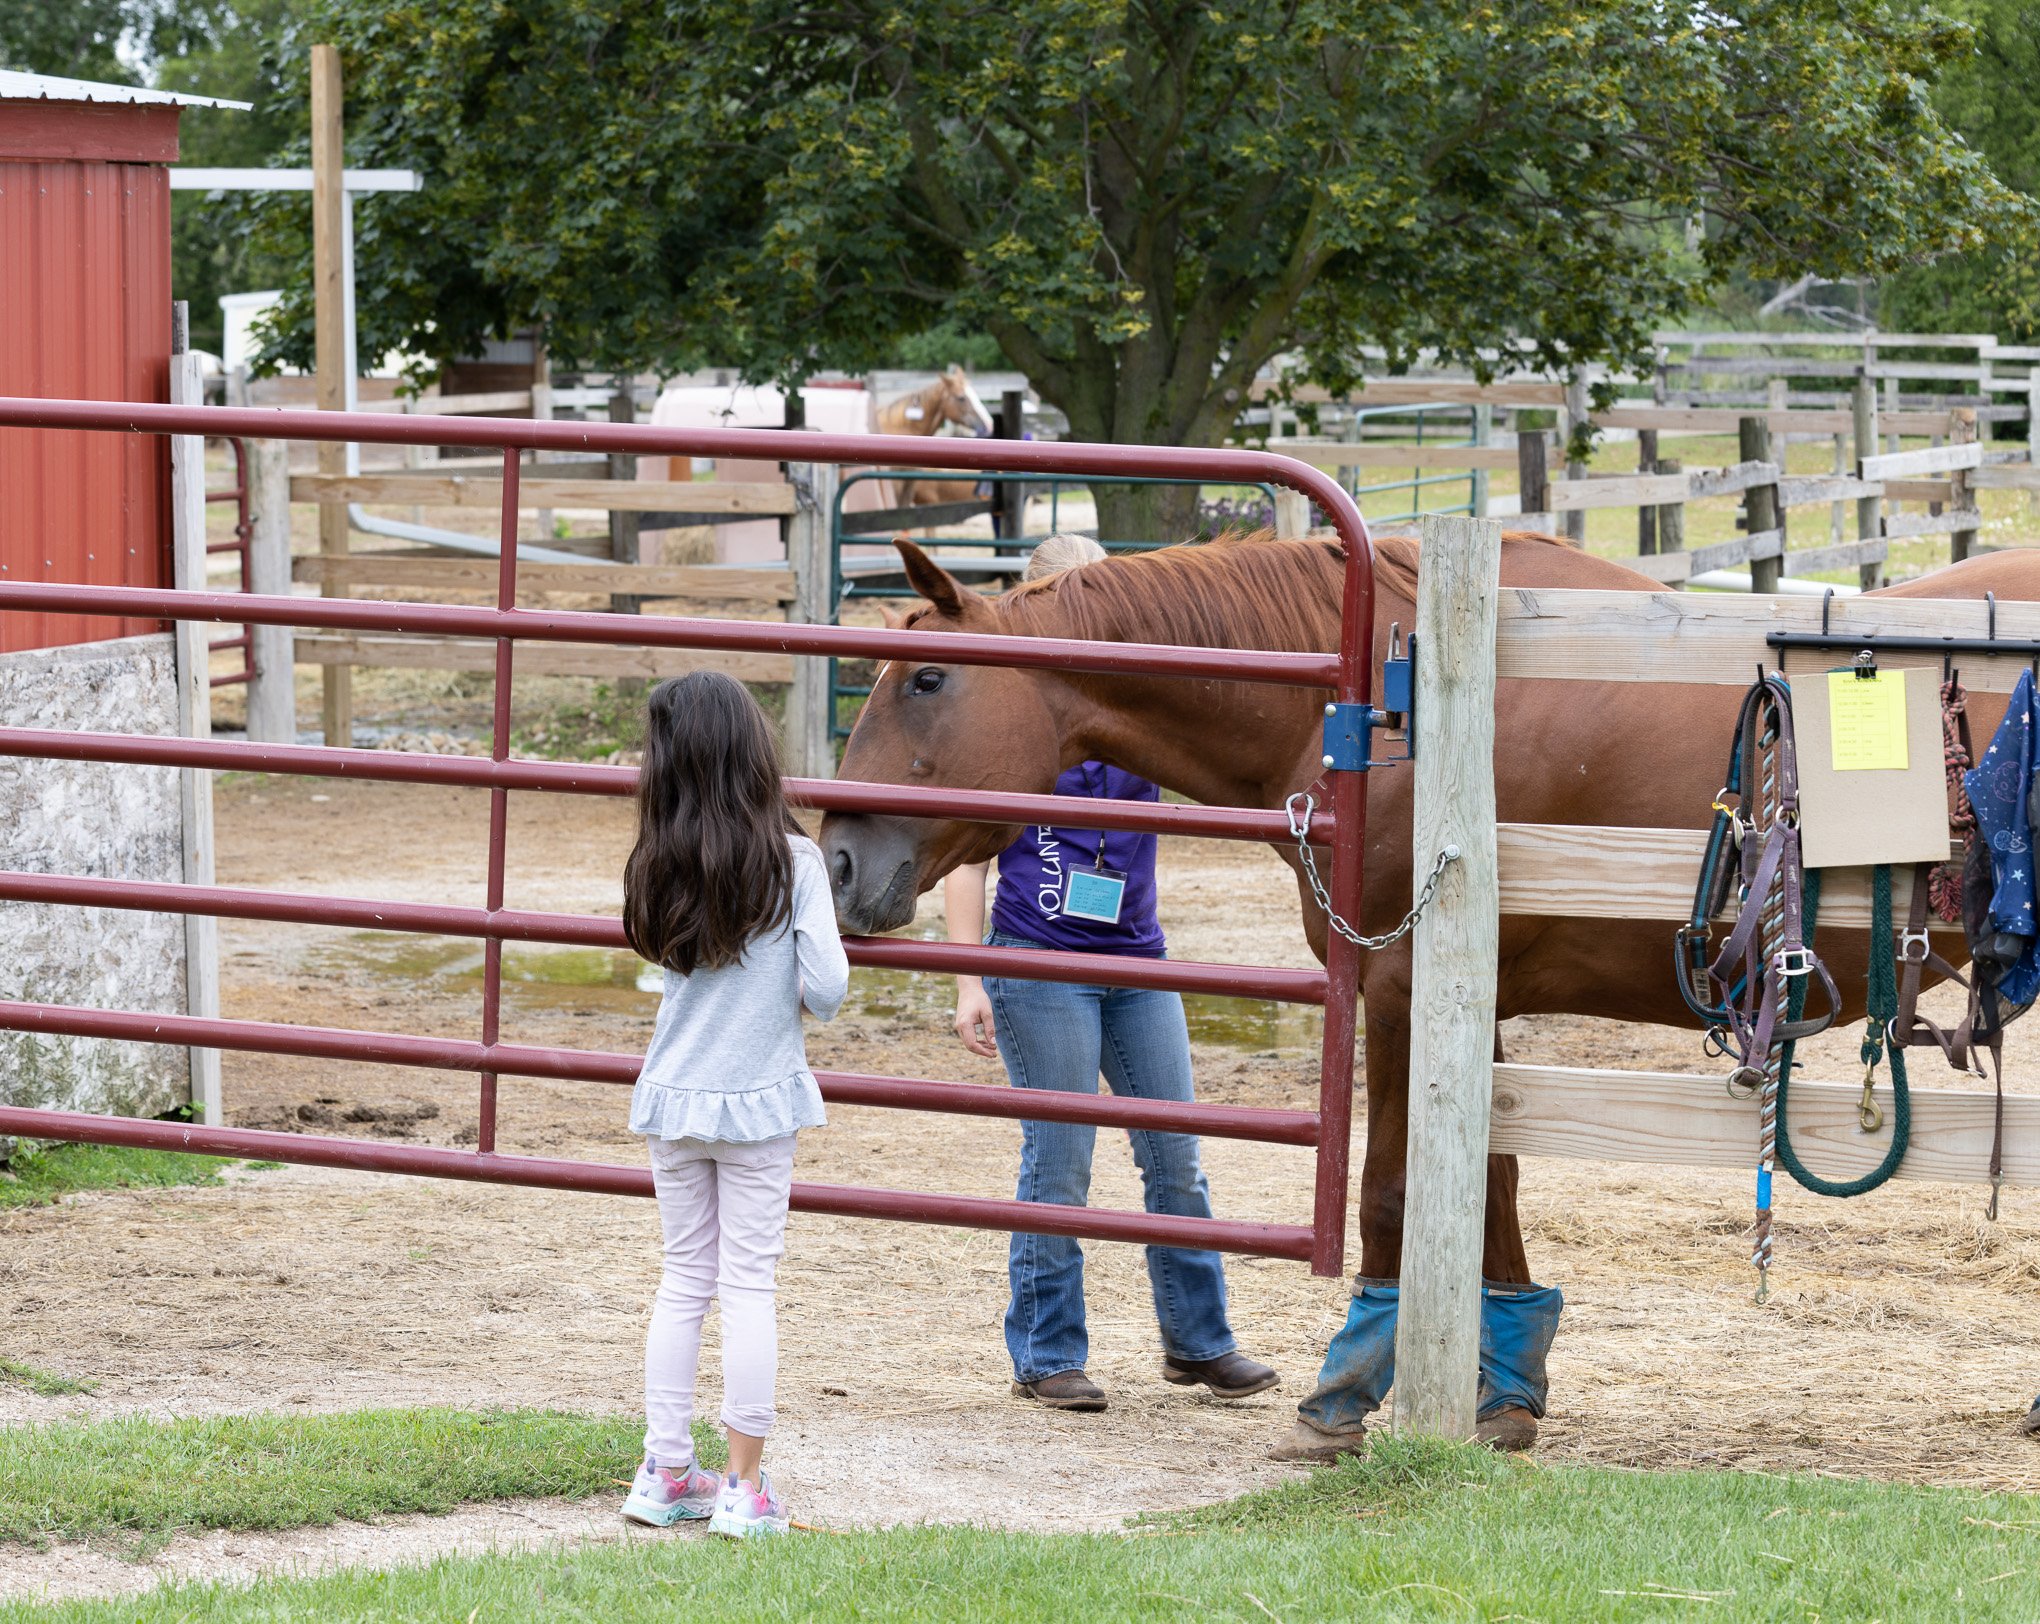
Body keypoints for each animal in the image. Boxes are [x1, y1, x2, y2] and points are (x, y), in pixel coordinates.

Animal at [820, 538, 2040, 1452]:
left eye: (926, 680)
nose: (834, 859)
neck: (1389, 706)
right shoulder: (1472, 993)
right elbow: (1487, 1188)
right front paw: (1505, 1397)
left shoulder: (1400, 982)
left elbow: (1393, 1193)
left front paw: (1344, 1400)